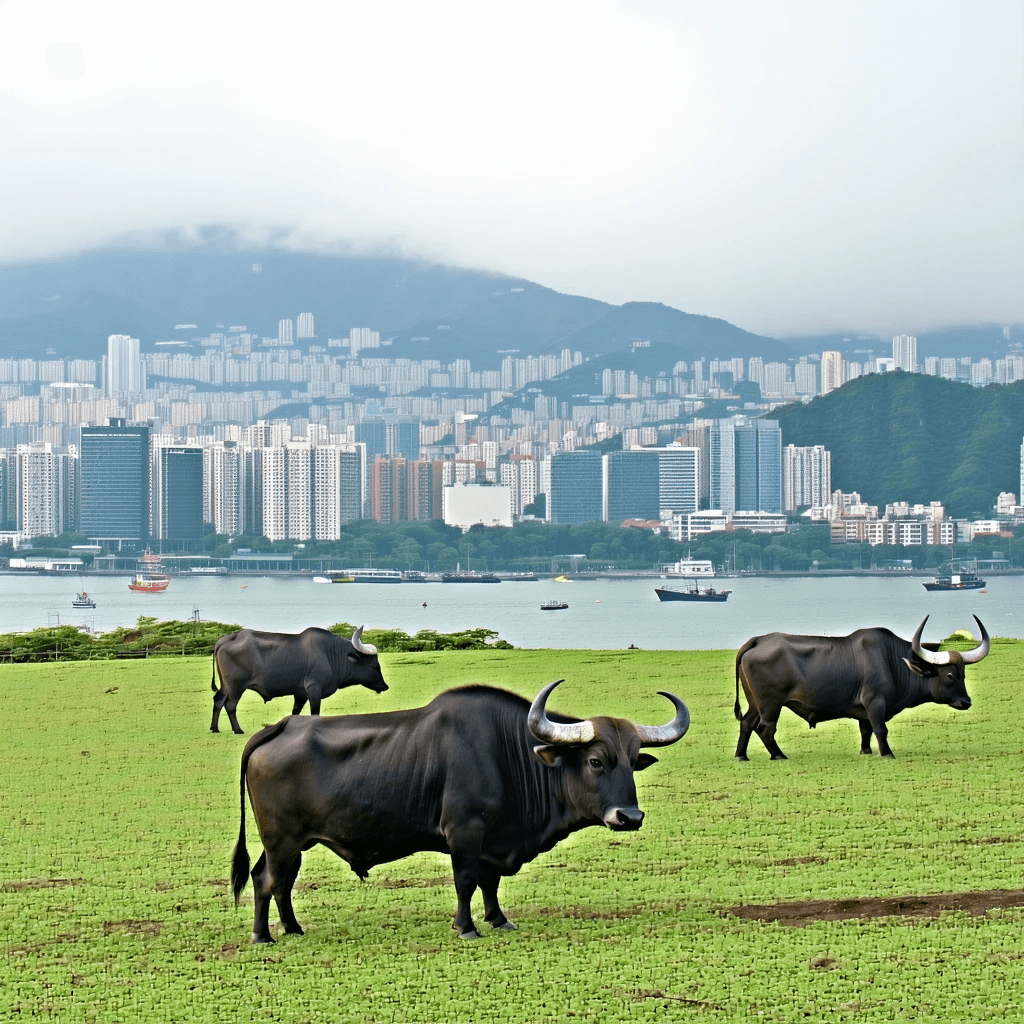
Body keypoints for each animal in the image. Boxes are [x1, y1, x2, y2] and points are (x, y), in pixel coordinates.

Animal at [210, 625, 387, 734]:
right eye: (374, 666)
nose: (385, 686)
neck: (330, 654)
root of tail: (226, 639)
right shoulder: (314, 691)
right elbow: (315, 713)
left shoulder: (300, 694)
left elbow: (295, 713)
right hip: (236, 686)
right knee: (230, 705)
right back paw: (237, 730)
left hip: (226, 686)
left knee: (218, 700)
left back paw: (214, 728)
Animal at [231, 679, 690, 942]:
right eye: (595, 761)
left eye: (632, 761)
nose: (629, 817)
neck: (508, 753)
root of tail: (280, 727)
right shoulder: (464, 833)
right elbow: (467, 881)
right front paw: (467, 928)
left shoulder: (492, 841)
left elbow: (490, 883)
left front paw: (499, 920)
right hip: (281, 841)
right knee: (266, 880)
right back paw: (262, 937)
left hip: (295, 844)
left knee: (281, 883)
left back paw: (293, 929)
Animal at [734, 615, 989, 760]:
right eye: (949, 675)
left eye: (963, 675)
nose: (966, 702)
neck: (892, 661)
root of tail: (759, 640)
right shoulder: (875, 702)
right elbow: (880, 729)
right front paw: (886, 753)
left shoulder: (864, 711)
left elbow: (865, 730)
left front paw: (866, 752)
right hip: (770, 705)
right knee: (765, 729)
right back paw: (778, 755)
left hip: (754, 704)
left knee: (746, 723)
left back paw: (741, 756)